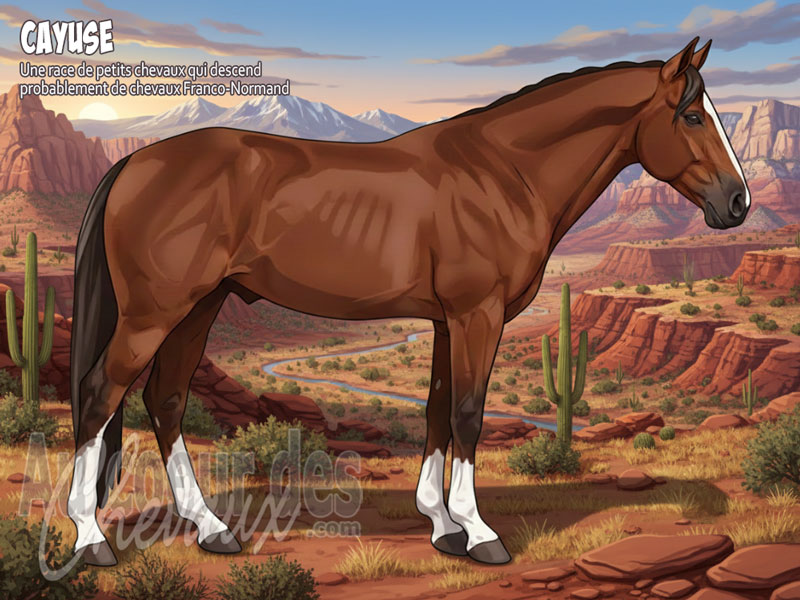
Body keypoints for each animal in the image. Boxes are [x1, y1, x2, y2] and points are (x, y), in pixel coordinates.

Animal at [68, 37, 749, 566]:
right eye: (693, 116)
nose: (737, 202)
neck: (503, 174)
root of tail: (134, 162)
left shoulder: (449, 322)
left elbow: (437, 411)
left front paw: (442, 525)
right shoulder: (478, 314)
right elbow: (469, 414)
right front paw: (479, 533)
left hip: (200, 308)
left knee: (165, 399)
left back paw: (211, 528)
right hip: (154, 313)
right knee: (102, 392)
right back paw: (91, 537)